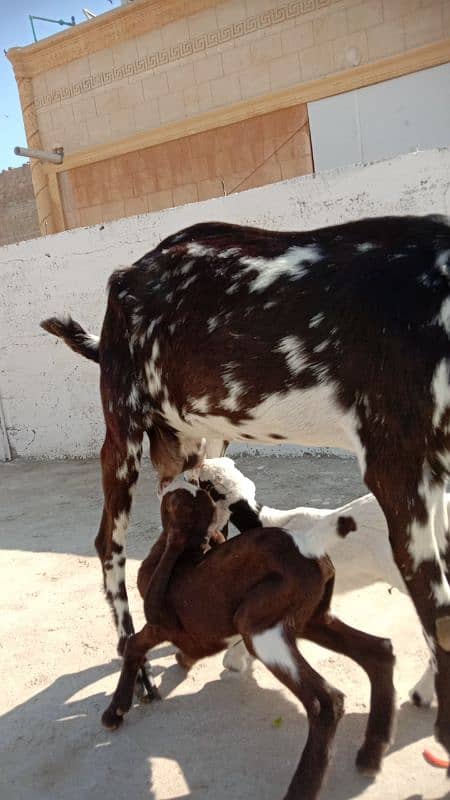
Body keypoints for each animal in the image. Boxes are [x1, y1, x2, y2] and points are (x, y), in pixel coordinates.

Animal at [43, 214, 450, 756]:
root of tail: (128, 274)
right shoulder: (399, 467)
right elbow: (438, 615)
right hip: (123, 426)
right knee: (109, 541)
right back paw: (138, 675)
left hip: (197, 436)